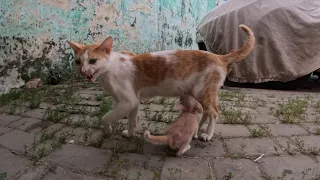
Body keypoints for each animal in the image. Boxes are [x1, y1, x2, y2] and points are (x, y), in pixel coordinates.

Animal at [67, 24, 255, 141]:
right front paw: (130, 134)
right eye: (78, 62)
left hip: (203, 92)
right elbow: (132, 121)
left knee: (214, 112)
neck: (110, 69)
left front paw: (107, 131)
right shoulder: (133, 102)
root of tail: (218, 56)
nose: (83, 71)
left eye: (92, 61)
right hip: (201, 93)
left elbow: (105, 118)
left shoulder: (127, 101)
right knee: (206, 112)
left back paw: (208, 134)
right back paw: (198, 130)